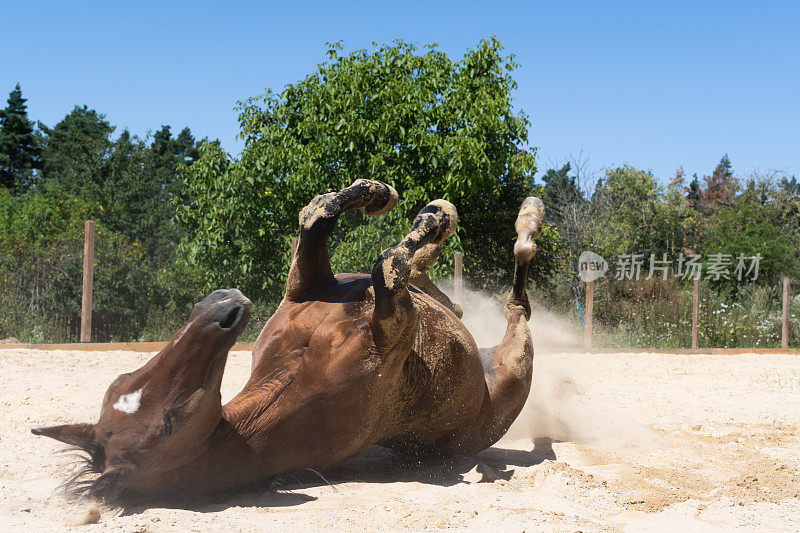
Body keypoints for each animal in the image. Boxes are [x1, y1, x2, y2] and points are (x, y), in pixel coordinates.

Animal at [31, 179, 544, 498]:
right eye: (170, 421)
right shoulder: (392, 330)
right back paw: (524, 219)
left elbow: (317, 215)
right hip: (516, 363)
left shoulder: (305, 287)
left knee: (439, 282)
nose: (218, 308)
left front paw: (379, 195)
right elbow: (387, 263)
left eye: (120, 381)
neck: (289, 381)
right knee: (517, 300)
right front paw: (432, 215)